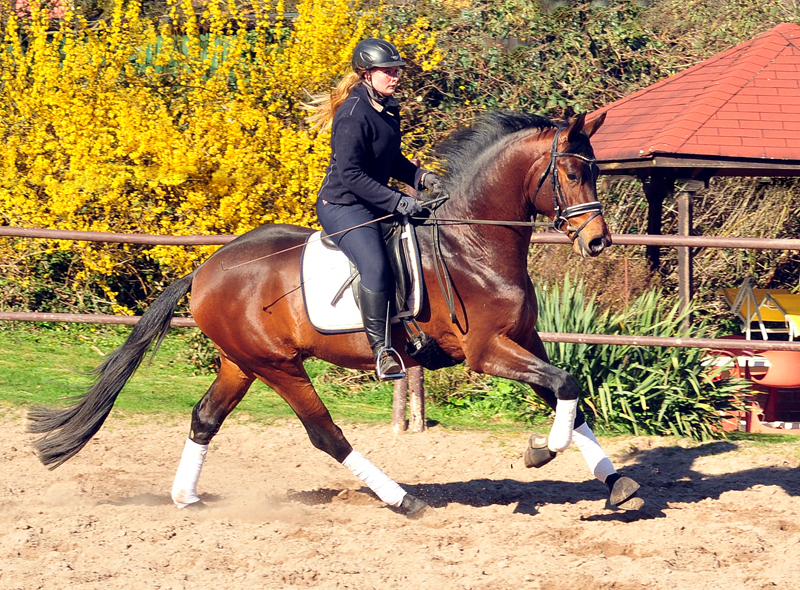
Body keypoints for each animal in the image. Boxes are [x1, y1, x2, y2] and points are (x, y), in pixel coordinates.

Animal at [28, 111, 644, 520]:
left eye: (595, 172)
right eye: (571, 174)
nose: (597, 242)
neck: (473, 243)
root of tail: (204, 271)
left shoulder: (525, 340)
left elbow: (569, 393)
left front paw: (617, 485)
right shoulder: (487, 352)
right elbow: (566, 386)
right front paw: (541, 451)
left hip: (239, 362)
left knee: (205, 417)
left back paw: (186, 497)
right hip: (279, 366)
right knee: (325, 434)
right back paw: (403, 499)